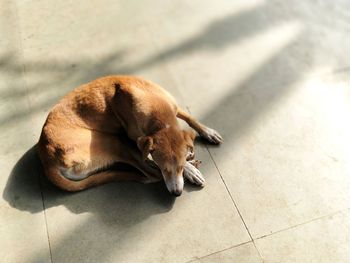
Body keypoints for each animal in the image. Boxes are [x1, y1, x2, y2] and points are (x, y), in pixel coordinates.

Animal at [37, 75, 223, 197]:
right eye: (165, 168)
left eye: (180, 167)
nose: (176, 193)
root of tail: (47, 161)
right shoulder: (138, 138)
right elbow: (154, 162)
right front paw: (190, 170)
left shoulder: (173, 106)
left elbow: (190, 118)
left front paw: (208, 132)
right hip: (113, 142)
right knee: (149, 172)